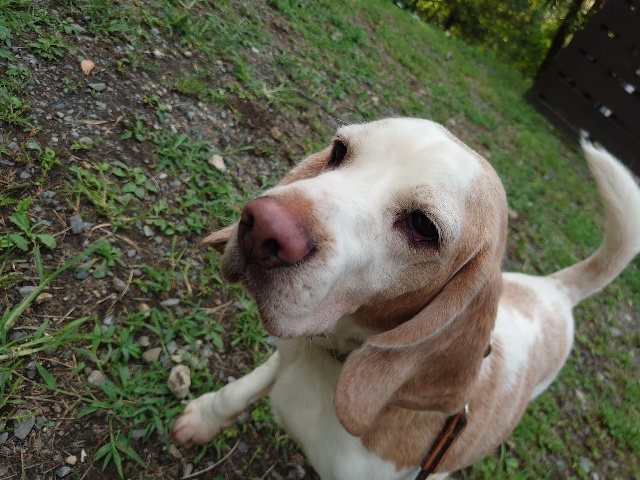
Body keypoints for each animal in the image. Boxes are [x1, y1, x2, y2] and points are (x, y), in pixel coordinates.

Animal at [170, 118, 640, 479]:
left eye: (423, 227)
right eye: (339, 150)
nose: (264, 226)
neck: (335, 362)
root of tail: (557, 290)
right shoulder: (289, 353)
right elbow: (239, 390)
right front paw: (201, 419)